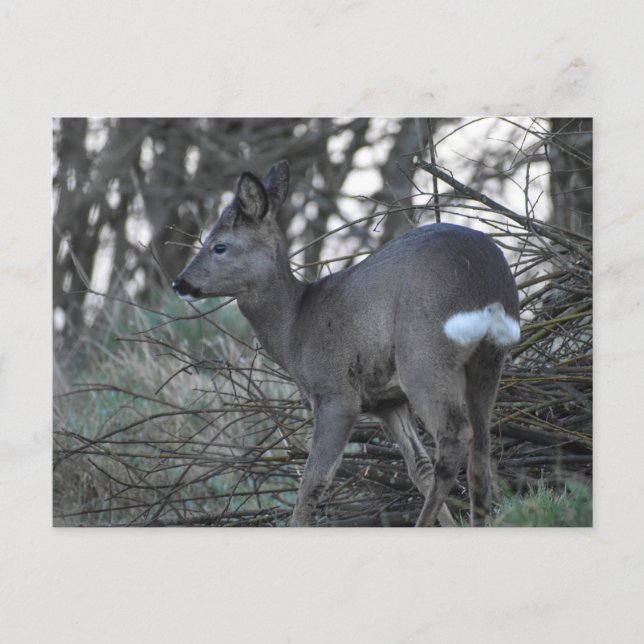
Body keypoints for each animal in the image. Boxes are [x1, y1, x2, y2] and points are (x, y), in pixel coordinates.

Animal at [172, 160, 520, 527]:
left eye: (219, 246)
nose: (180, 283)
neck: (295, 327)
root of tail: (487, 287)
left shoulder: (335, 393)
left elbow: (314, 479)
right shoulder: (386, 402)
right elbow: (418, 467)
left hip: (423, 352)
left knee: (454, 437)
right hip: (489, 357)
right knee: (480, 447)